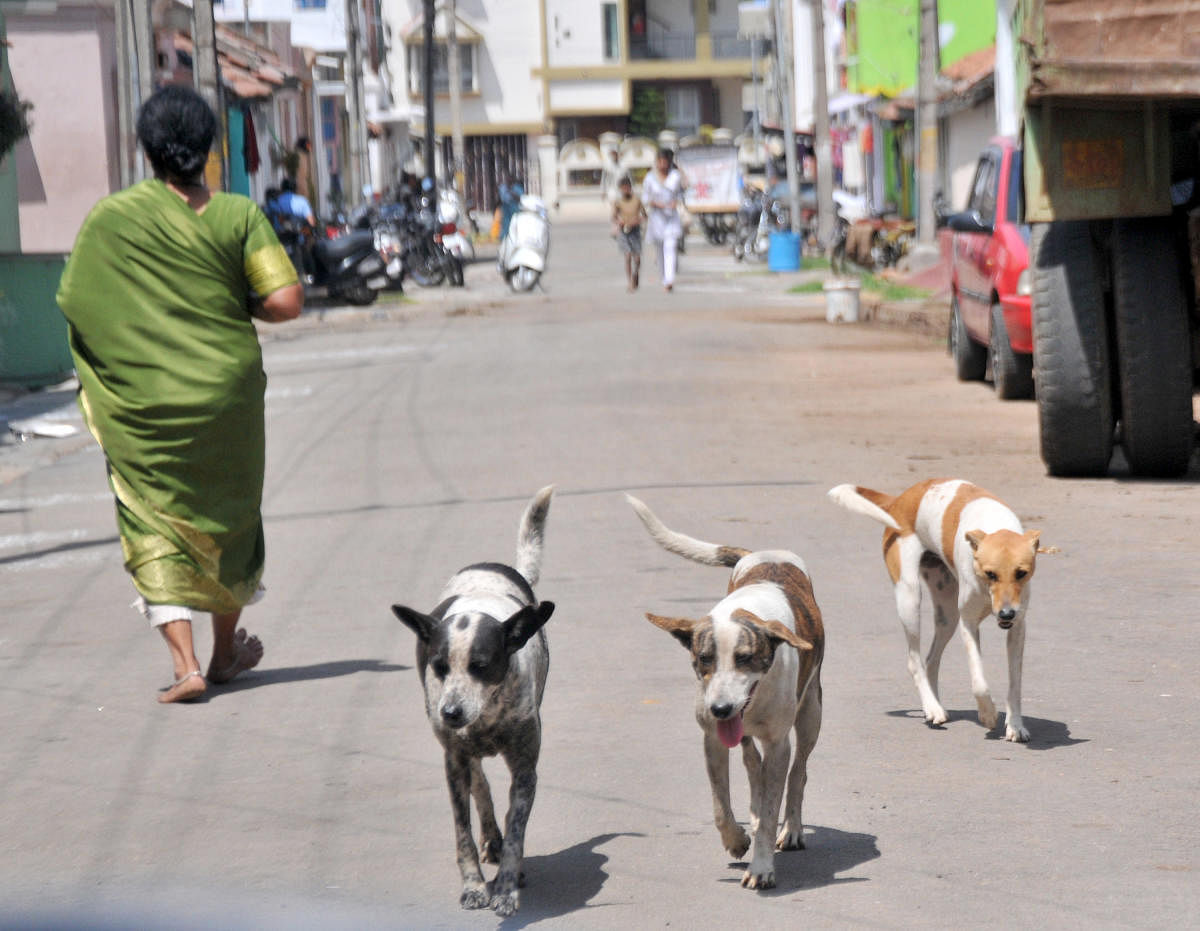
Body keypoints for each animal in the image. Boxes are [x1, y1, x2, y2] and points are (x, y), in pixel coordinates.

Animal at [398, 487, 556, 916]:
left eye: (481, 666)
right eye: (439, 666)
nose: (450, 713)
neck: (487, 714)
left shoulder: (525, 768)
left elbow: (517, 830)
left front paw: (506, 889)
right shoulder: (452, 762)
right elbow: (462, 829)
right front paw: (473, 885)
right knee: (479, 782)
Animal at [628, 494, 825, 887]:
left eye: (745, 658)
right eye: (704, 658)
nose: (720, 709)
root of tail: (763, 553)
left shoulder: (778, 743)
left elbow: (774, 800)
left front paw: (761, 866)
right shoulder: (712, 738)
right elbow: (721, 805)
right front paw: (736, 839)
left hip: (811, 711)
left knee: (798, 771)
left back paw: (792, 828)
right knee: (751, 763)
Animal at [830, 479, 1046, 743]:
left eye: (1021, 573)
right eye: (990, 573)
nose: (1006, 614)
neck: (994, 525)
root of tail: (899, 500)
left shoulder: (1017, 629)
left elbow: (1015, 683)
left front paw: (1015, 725)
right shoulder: (968, 624)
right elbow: (979, 682)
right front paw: (987, 714)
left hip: (947, 615)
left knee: (930, 661)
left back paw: (933, 705)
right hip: (910, 599)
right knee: (914, 662)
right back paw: (933, 709)